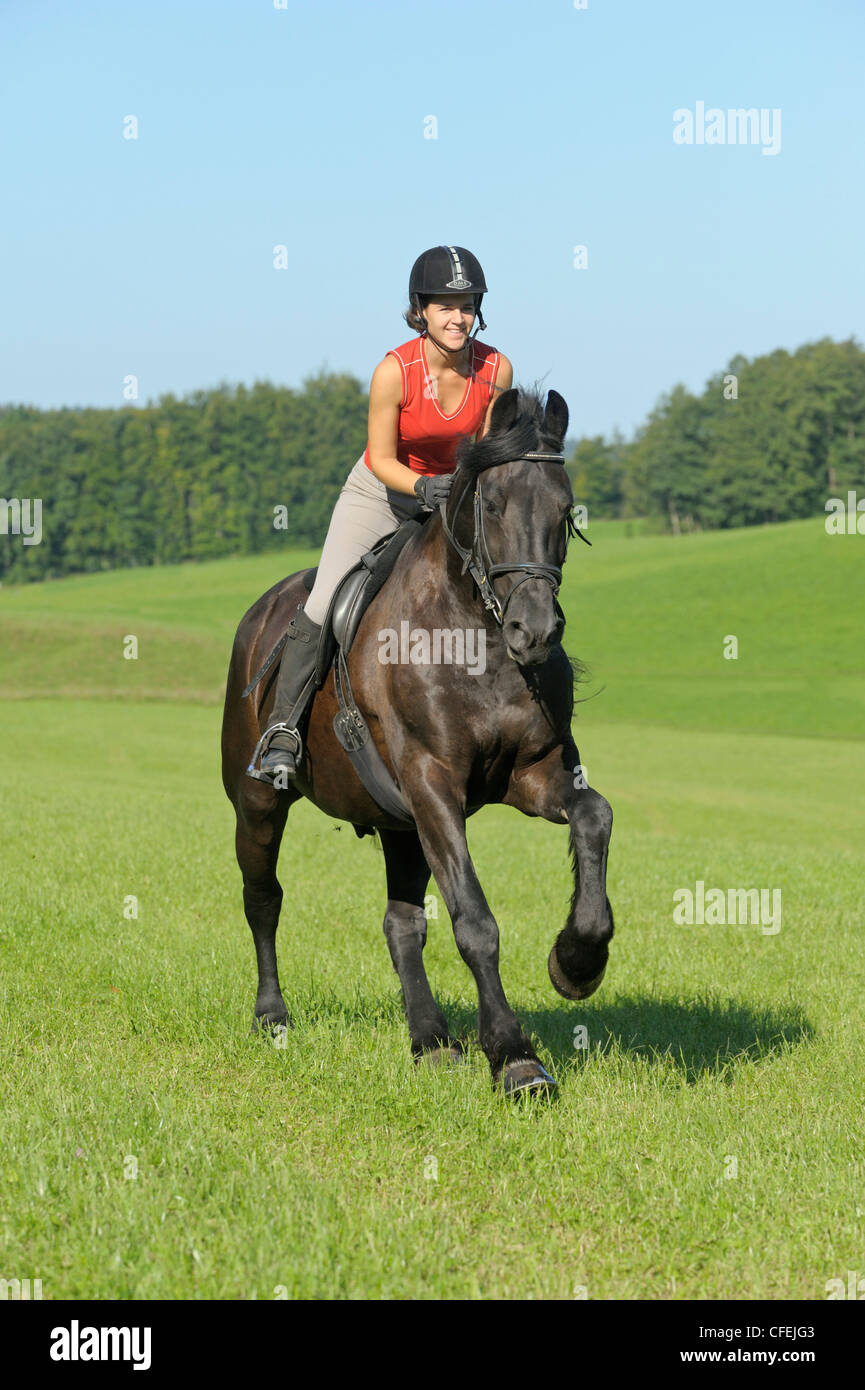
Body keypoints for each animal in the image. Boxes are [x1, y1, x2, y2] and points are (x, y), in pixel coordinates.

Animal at [221, 386, 614, 1097]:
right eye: (492, 504)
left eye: (566, 510)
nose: (535, 632)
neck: (473, 634)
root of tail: (260, 612)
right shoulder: (433, 784)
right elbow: (475, 922)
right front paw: (515, 1058)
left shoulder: (534, 774)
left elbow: (594, 816)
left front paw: (576, 961)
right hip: (259, 799)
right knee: (263, 898)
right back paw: (272, 1016)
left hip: (397, 820)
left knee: (401, 924)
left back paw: (430, 1039)